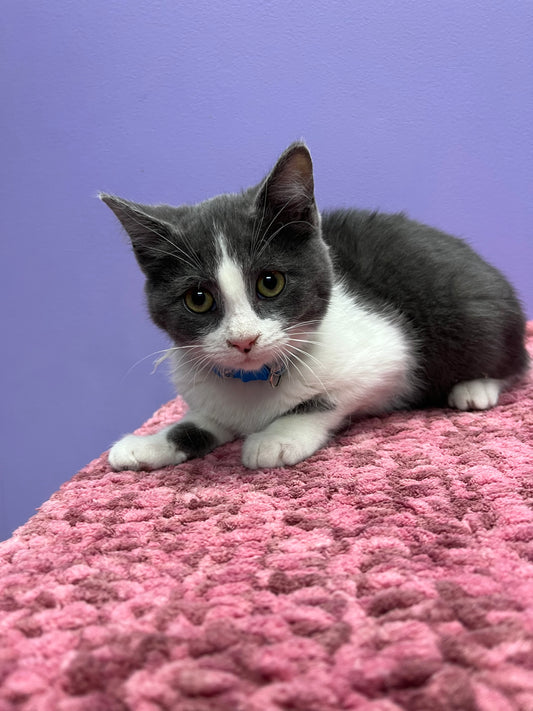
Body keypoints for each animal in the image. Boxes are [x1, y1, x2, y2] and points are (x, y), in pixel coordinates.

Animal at [100, 142, 528, 471]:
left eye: (270, 282)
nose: (243, 341)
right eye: (198, 299)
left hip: (468, 316)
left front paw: (276, 437)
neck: (253, 380)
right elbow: (204, 419)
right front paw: (151, 442)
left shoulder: (391, 354)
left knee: (514, 360)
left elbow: (325, 399)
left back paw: (475, 388)